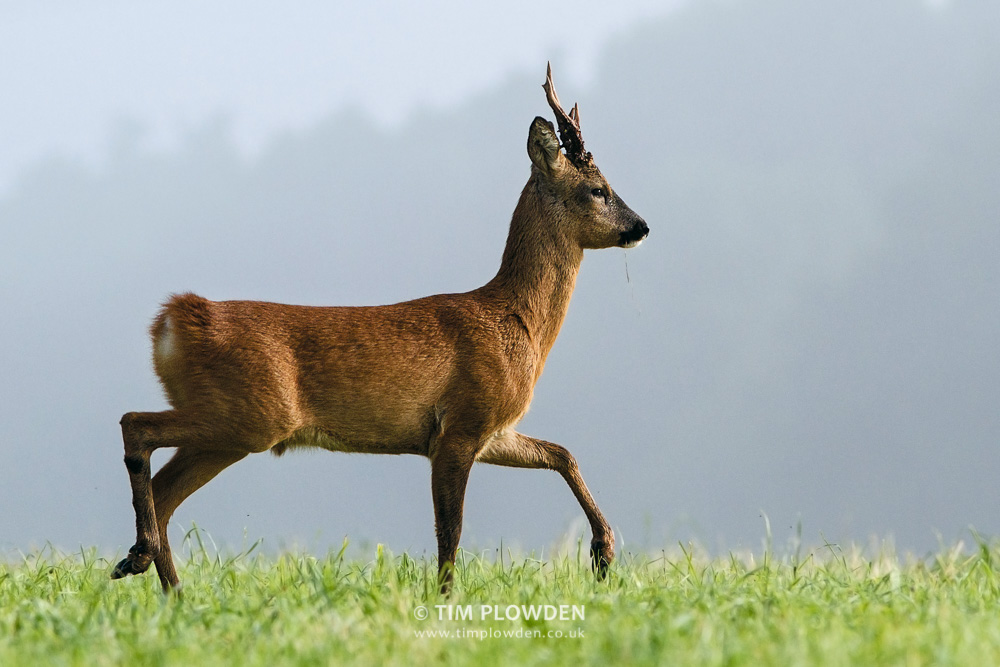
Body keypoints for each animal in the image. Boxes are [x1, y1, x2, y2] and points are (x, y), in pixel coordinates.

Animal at [112, 64, 648, 594]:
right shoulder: (460, 425)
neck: (518, 323)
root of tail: (174, 320)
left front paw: (603, 553)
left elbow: (563, 453)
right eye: (597, 189)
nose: (641, 226)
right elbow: (450, 532)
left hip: (230, 429)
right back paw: (138, 556)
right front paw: (444, 601)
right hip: (251, 414)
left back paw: (166, 586)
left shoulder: (494, 429)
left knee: (164, 492)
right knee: (135, 426)